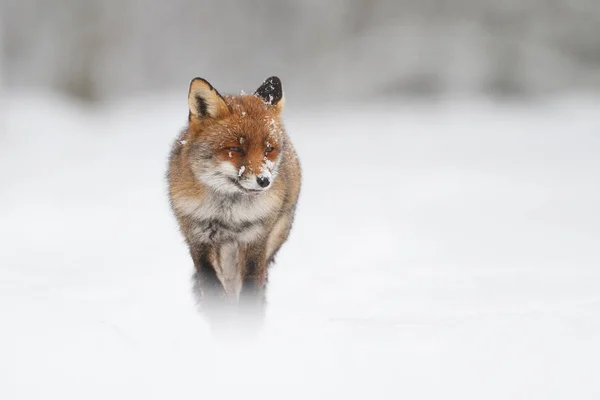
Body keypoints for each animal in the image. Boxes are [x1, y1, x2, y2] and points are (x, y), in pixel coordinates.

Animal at [168, 76, 300, 326]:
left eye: (269, 149)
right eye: (236, 148)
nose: (264, 181)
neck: (228, 214)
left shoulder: (255, 240)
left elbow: (249, 293)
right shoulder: (198, 239)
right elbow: (212, 290)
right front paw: (221, 323)